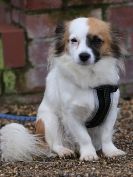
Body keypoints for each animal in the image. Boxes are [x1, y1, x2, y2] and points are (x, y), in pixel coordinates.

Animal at [0, 17, 125, 161]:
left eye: (97, 40)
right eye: (73, 40)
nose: (83, 56)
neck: (89, 78)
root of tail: (39, 139)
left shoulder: (111, 111)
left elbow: (106, 135)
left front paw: (111, 151)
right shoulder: (71, 115)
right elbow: (84, 137)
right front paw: (88, 153)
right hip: (49, 120)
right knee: (54, 145)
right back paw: (64, 151)